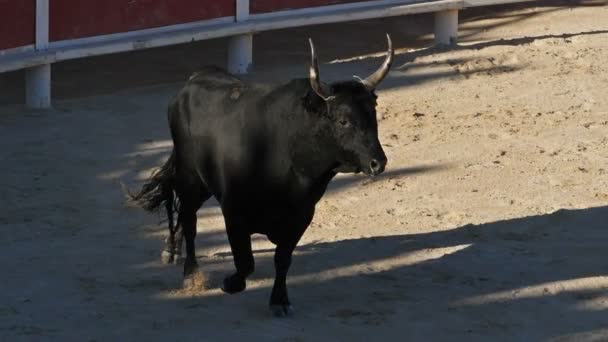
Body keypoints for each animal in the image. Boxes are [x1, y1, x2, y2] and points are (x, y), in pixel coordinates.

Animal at [130, 34, 392, 316]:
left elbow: (283, 259)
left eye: (373, 115)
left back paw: (172, 250)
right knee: (189, 218)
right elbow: (245, 262)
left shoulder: (301, 216)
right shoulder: (233, 210)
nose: (378, 163)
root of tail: (193, 80)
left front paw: (279, 300)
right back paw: (189, 272)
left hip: (203, 182)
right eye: (344, 120)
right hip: (190, 174)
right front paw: (230, 282)